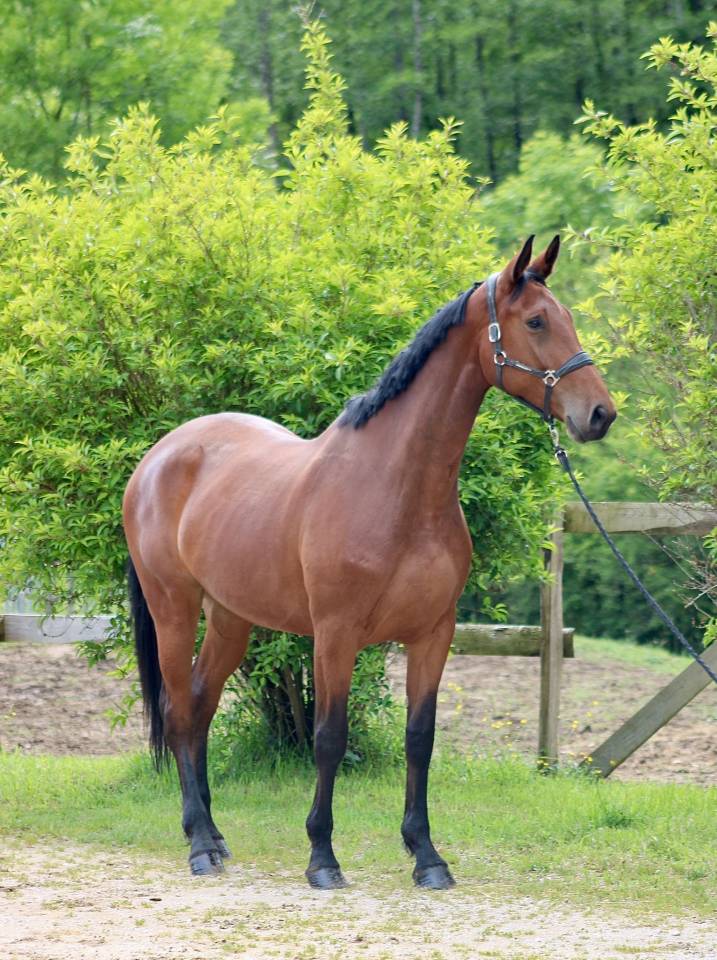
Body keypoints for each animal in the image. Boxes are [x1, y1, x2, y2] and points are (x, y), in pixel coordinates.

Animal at [123, 235, 616, 889]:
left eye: (567, 318)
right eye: (536, 321)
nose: (600, 414)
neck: (395, 485)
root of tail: (159, 456)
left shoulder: (434, 634)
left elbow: (419, 738)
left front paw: (426, 855)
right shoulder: (336, 635)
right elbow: (330, 738)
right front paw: (322, 857)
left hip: (232, 617)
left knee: (200, 705)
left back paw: (214, 834)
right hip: (173, 609)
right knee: (179, 709)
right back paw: (200, 844)